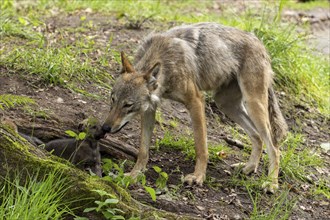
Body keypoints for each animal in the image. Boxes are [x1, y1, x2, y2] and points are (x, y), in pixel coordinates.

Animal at [102, 21, 288, 192]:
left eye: (128, 105)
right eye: (113, 100)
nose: (105, 127)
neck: (166, 61)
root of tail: (259, 42)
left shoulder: (196, 101)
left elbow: (201, 147)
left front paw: (198, 177)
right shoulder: (149, 110)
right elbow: (143, 150)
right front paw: (134, 174)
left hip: (253, 104)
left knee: (274, 146)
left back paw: (271, 184)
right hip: (225, 104)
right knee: (257, 137)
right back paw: (249, 168)